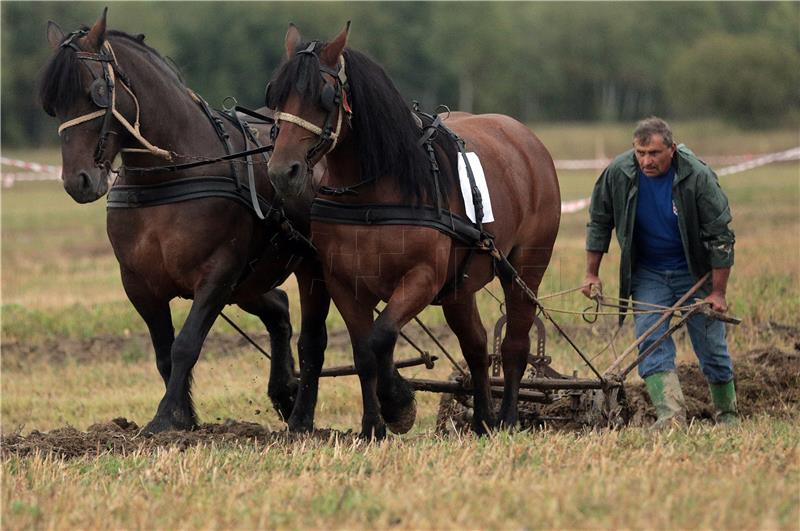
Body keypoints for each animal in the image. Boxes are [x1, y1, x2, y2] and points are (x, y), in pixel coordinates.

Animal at [39, 9, 332, 436]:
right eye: (53, 104)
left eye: (96, 92)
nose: (78, 181)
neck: (168, 177)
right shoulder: (139, 283)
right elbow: (163, 351)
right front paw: (185, 419)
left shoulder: (217, 274)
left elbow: (186, 344)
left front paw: (165, 418)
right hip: (249, 281)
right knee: (278, 309)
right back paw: (283, 392)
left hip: (295, 269)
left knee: (312, 334)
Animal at [268, 23, 564, 440]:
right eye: (276, 93)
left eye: (324, 96)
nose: (283, 172)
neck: (373, 194)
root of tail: (525, 137)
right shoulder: (342, 282)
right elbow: (363, 351)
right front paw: (372, 425)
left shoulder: (422, 277)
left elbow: (381, 336)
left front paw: (397, 403)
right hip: (459, 287)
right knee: (476, 345)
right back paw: (482, 419)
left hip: (525, 269)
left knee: (514, 346)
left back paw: (506, 418)